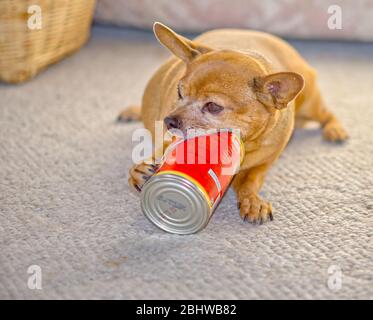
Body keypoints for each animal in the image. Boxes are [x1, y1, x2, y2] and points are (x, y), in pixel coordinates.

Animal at [118, 22, 346, 224]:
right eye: (179, 93)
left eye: (213, 106)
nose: (169, 121)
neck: (245, 143)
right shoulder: (169, 142)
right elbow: (160, 153)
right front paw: (140, 170)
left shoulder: (262, 164)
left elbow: (249, 181)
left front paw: (252, 200)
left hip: (309, 104)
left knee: (327, 114)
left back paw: (336, 129)